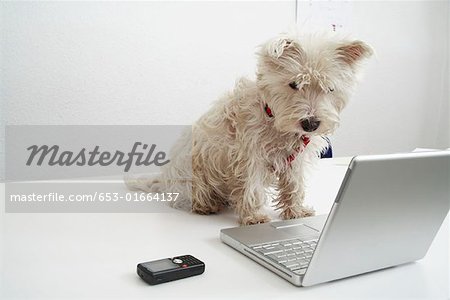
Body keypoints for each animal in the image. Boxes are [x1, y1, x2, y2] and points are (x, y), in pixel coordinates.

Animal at [127, 32, 372, 225]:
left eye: (329, 88)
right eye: (294, 84)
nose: (310, 124)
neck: (274, 119)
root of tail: (165, 180)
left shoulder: (295, 161)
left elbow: (294, 185)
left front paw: (296, 211)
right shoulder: (249, 156)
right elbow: (251, 187)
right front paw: (254, 217)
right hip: (192, 169)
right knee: (195, 194)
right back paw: (206, 205)